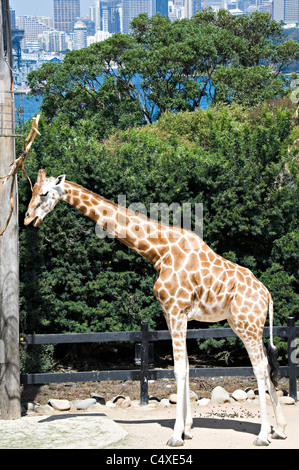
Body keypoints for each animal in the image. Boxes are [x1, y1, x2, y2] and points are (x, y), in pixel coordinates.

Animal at [24, 170, 288, 448]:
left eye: (44, 193)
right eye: (31, 191)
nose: (28, 218)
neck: (159, 252)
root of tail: (267, 294)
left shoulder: (175, 309)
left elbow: (178, 370)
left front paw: (175, 435)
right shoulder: (173, 314)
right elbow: (186, 368)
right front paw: (187, 430)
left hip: (246, 324)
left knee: (259, 368)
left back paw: (263, 435)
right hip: (251, 326)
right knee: (268, 366)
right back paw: (279, 430)